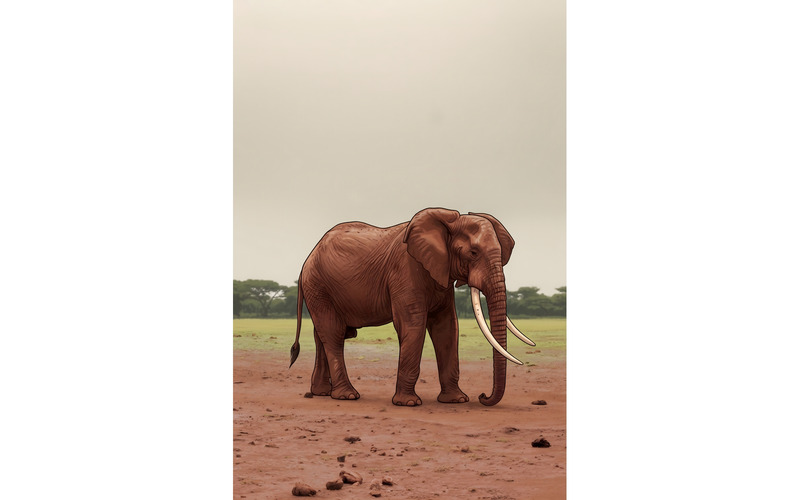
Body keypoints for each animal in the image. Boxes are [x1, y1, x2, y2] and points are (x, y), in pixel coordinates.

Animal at [288, 207, 535, 406]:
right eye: (473, 253)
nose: (482, 396)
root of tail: (307, 258)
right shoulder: (405, 270)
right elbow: (413, 325)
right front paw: (408, 403)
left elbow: (447, 328)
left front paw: (456, 400)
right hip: (318, 285)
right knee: (333, 334)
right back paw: (347, 396)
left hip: (320, 289)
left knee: (322, 334)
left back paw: (321, 393)